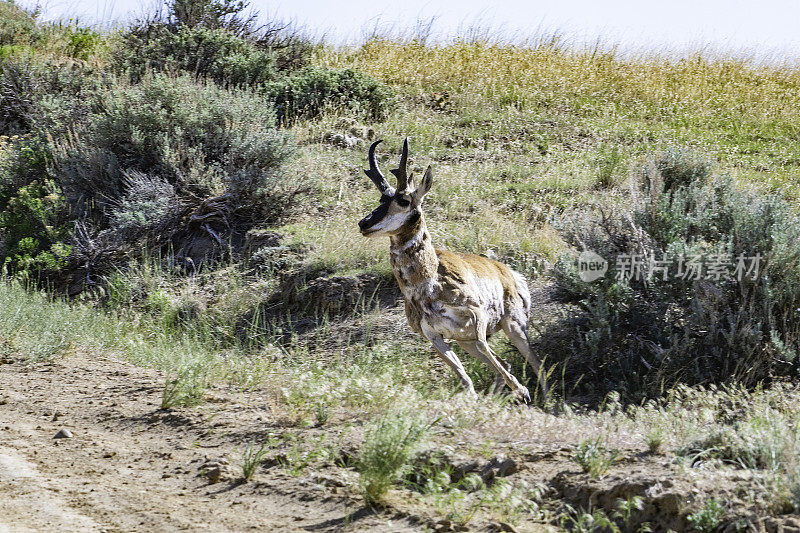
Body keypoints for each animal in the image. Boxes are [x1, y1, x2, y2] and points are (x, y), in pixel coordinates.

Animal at [360, 139, 548, 402]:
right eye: (380, 200)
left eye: (403, 201)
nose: (364, 223)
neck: (427, 284)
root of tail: (509, 273)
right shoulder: (433, 335)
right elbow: (464, 378)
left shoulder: (476, 314)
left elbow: (484, 347)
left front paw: (521, 389)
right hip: (464, 341)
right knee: (503, 364)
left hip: (513, 327)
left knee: (536, 363)